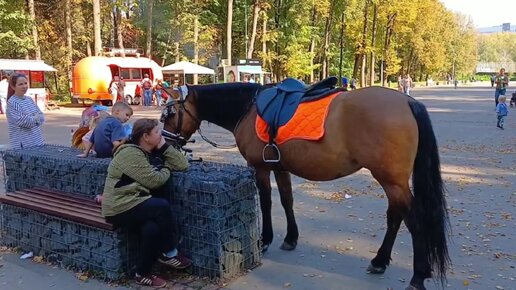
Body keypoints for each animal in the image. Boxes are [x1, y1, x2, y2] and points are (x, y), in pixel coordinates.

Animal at [160, 82, 448, 290]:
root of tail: (407, 101)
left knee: (413, 221)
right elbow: (287, 201)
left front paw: (265, 239)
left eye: (169, 114)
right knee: (395, 217)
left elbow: (267, 202)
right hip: (393, 182)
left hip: (391, 180)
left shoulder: (260, 168)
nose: (166, 142)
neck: (248, 108)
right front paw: (290, 238)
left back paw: (417, 276)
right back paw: (379, 261)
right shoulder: (280, 168)